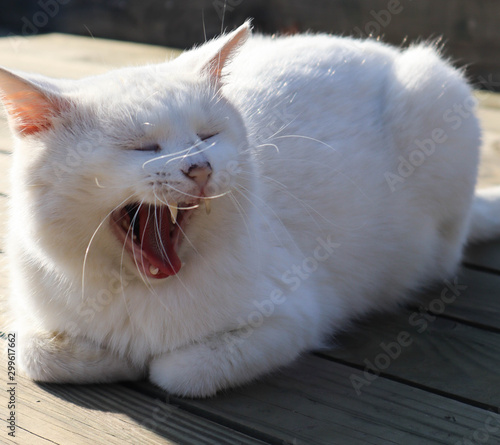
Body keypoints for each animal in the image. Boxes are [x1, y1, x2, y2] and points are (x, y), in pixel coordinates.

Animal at [0, 21, 500, 396]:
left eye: (207, 136)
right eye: (141, 147)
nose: (199, 168)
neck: (140, 291)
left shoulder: (292, 318)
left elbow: (177, 371)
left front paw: (138, 361)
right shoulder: (31, 317)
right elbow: (35, 353)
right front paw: (108, 357)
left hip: (438, 89)